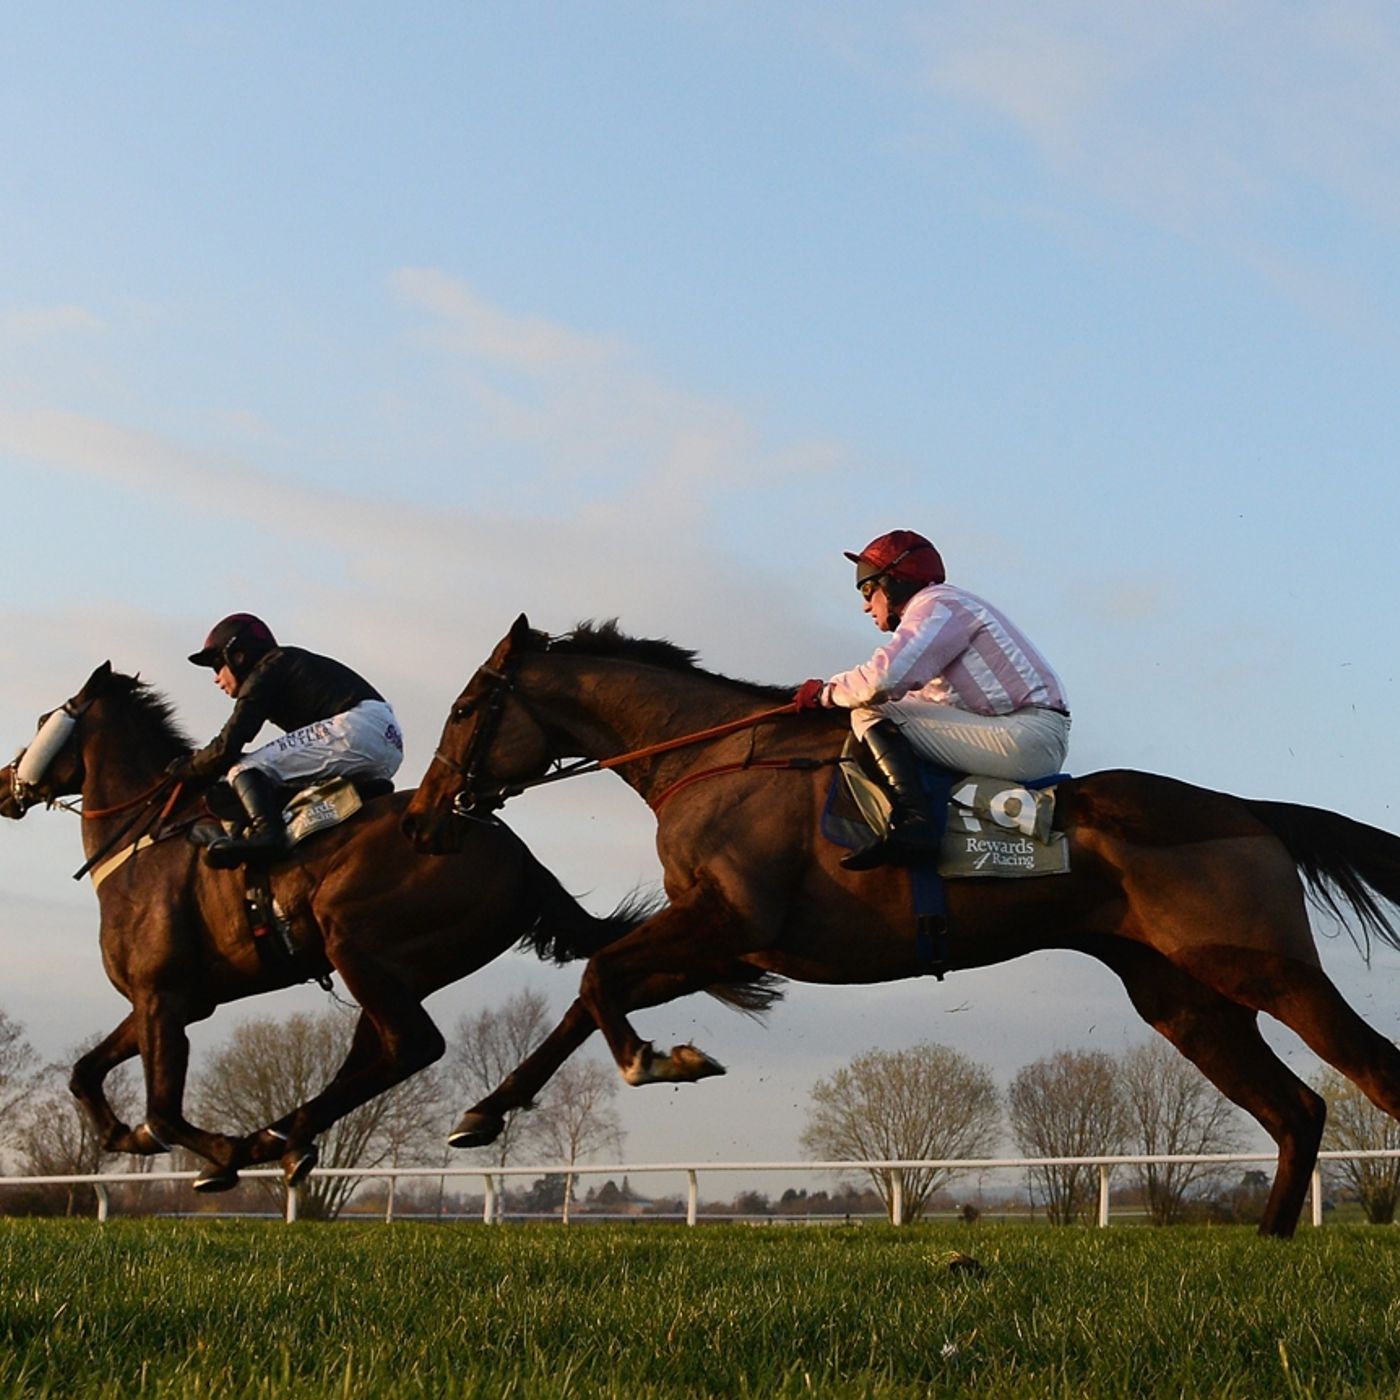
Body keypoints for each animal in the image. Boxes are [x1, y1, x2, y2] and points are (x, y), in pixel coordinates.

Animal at [0, 660, 676, 1191]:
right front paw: (129, 1135)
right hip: (402, 970)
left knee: (411, 1046)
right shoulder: (168, 1002)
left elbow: (164, 1111)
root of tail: (515, 850)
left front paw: (221, 1153)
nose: (6, 784)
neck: (143, 843)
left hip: (354, 942)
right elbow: (85, 1073)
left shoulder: (161, 997)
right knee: (373, 1056)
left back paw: (280, 1136)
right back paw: (287, 1137)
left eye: (41, 723)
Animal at [401, 614, 1400, 1239]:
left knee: (1368, 1072)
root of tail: (1249, 810)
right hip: (1184, 997)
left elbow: (595, 980)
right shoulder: (721, 936)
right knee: (1298, 1107)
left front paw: (660, 1061)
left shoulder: (725, 922)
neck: (718, 757)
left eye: (463, 709)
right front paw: (483, 1113)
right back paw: (1269, 1243)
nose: (421, 818)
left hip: (1261, 965)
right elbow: (588, 994)